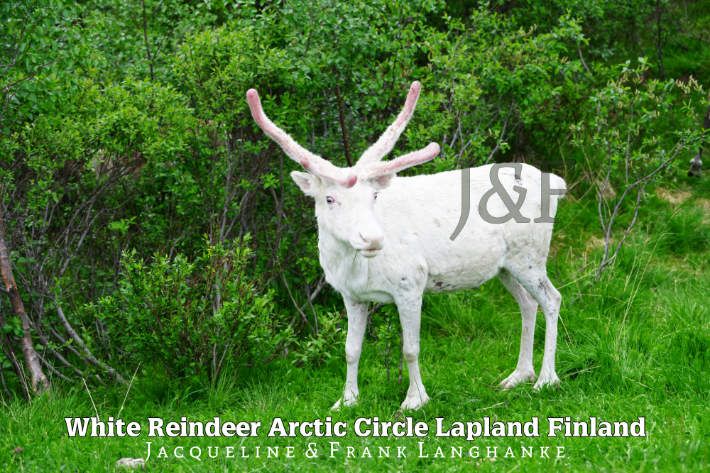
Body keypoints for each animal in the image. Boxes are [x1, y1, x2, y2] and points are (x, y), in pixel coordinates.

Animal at [246, 81, 566, 410]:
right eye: (329, 199)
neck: (356, 269)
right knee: (528, 304)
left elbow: (410, 348)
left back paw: (546, 379)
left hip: (530, 255)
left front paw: (415, 399)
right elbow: (350, 349)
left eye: (374, 196)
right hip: (505, 266)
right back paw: (518, 375)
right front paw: (346, 400)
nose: (373, 238)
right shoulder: (351, 295)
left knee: (552, 299)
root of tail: (557, 183)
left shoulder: (411, 283)